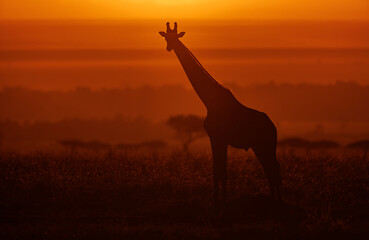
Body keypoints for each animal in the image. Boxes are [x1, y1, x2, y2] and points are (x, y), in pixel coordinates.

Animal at [159, 22, 282, 202]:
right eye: (166, 37)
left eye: (176, 37)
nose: (169, 48)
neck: (209, 101)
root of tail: (274, 128)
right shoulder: (220, 140)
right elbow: (221, 170)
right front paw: (222, 198)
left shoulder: (217, 138)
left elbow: (218, 170)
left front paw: (217, 199)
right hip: (263, 146)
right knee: (273, 168)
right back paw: (275, 197)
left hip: (263, 145)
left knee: (272, 168)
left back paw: (276, 198)